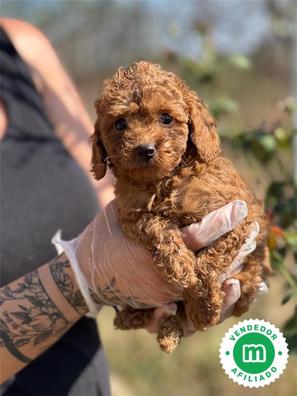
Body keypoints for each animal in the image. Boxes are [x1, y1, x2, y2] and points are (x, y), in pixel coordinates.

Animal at [91, 62, 270, 352]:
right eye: (119, 124)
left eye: (166, 118)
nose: (145, 149)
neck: (164, 180)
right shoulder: (130, 213)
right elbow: (157, 226)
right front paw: (181, 267)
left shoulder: (240, 216)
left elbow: (209, 263)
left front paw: (203, 308)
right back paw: (143, 319)